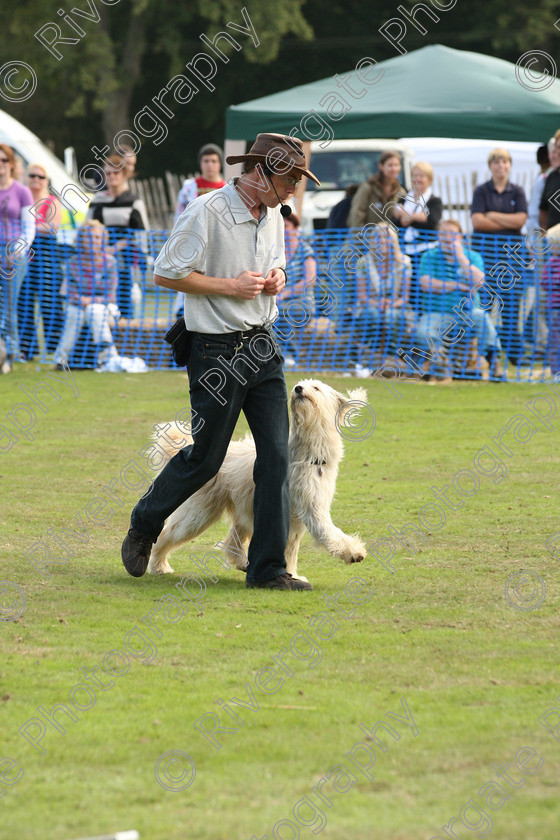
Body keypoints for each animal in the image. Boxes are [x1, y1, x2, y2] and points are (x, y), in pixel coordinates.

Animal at [148, 378, 368, 580]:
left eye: (316, 387)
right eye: (301, 385)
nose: (298, 388)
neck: (307, 454)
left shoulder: (300, 514)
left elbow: (290, 549)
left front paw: (291, 574)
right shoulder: (311, 508)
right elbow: (328, 531)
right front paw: (353, 551)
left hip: (243, 508)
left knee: (232, 541)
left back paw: (242, 562)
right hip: (198, 513)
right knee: (166, 535)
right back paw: (158, 565)